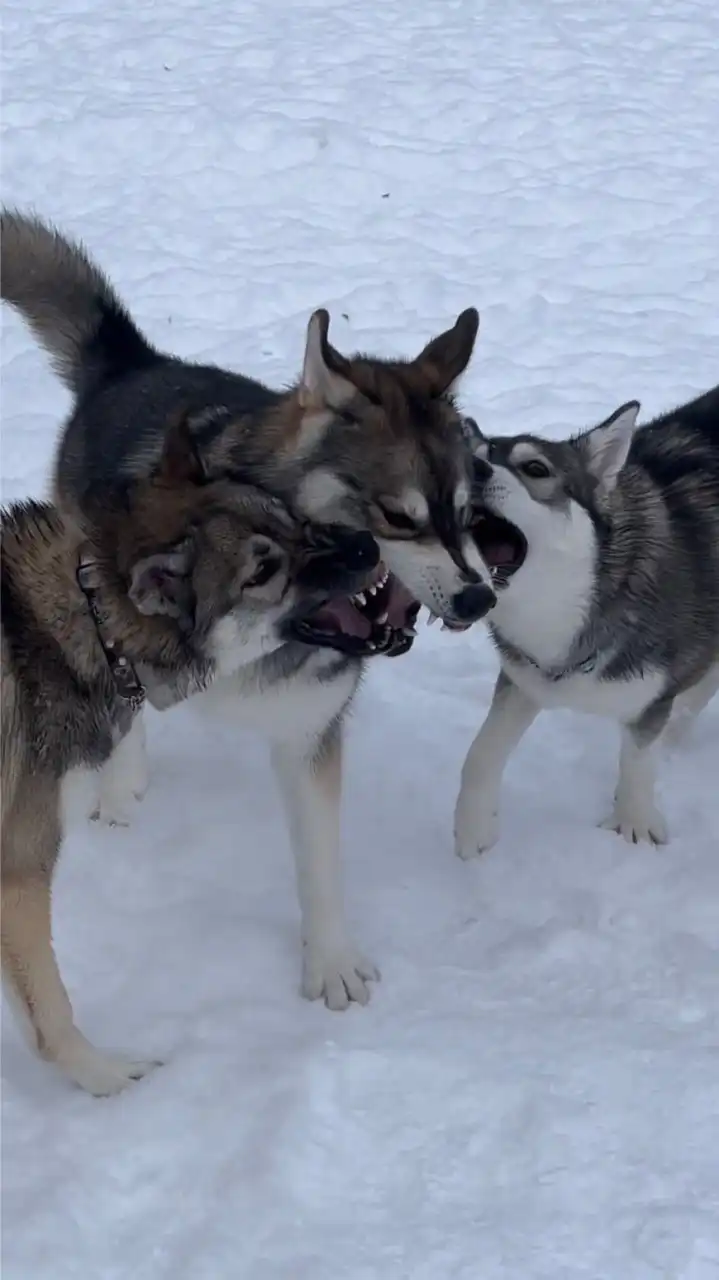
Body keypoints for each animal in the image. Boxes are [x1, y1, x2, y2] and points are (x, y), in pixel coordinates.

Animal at [1, 414, 381, 1095]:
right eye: (262, 573)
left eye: (292, 519)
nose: (366, 547)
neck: (91, 618)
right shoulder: (18, 866)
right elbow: (51, 1013)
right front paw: (104, 1078)